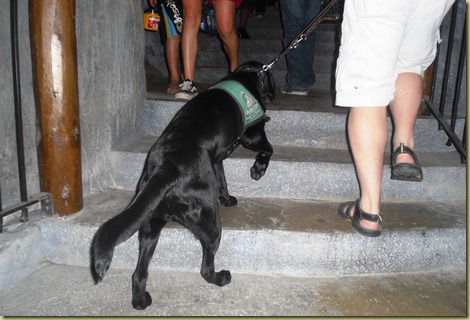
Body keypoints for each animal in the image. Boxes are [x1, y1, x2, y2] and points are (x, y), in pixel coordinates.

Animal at [89, 60, 274, 310]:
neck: (247, 75)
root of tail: (166, 168)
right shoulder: (252, 135)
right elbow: (269, 149)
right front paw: (258, 169)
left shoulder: (216, 160)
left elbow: (223, 181)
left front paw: (227, 198)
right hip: (210, 222)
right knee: (205, 268)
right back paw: (221, 278)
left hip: (150, 226)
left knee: (138, 274)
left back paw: (140, 301)